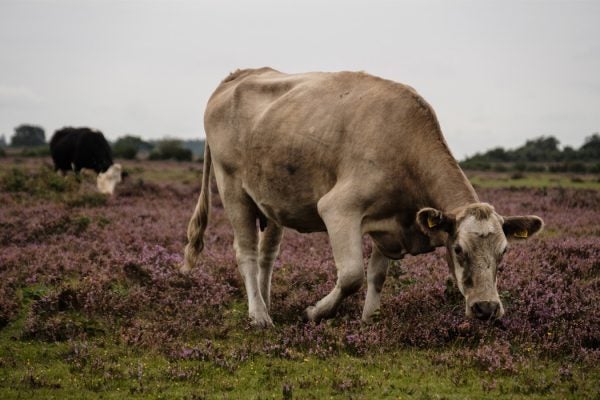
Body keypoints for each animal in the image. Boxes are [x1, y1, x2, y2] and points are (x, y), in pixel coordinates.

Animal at [183, 67, 544, 326]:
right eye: (458, 249)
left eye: (504, 251)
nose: (486, 308)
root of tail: (239, 74)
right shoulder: (339, 209)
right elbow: (353, 275)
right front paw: (315, 312)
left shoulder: (390, 225)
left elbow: (377, 275)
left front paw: (370, 319)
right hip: (233, 190)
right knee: (245, 252)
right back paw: (258, 316)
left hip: (271, 199)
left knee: (266, 255)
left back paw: (265, 302)